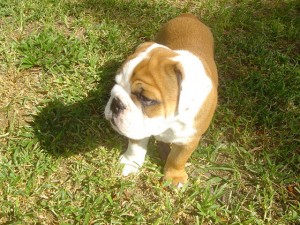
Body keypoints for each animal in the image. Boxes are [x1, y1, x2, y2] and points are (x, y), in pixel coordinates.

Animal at [105, 14, 218, 186]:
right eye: (116, 83)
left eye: (146, 98)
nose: (116, 104)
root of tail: (188, 16)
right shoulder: (138, 127)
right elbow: (135, 146)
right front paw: (131, 163)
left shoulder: (189, 139)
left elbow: (177, 159)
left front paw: (175, 176)